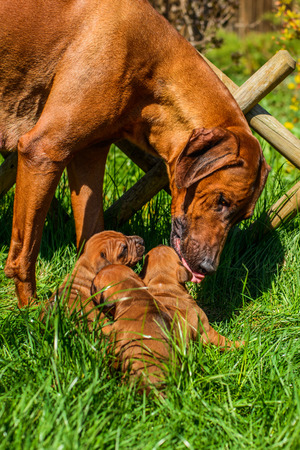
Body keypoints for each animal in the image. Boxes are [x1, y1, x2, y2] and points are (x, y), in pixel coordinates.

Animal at [1, 0, 270, 306]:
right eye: (222, 201)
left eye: (242, 218)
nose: (208, 268)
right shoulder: (44, 151)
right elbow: (25, 253)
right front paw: (31, 309)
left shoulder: (89, 155)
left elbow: (95, 230)